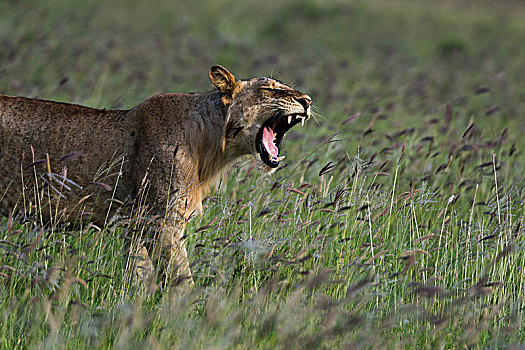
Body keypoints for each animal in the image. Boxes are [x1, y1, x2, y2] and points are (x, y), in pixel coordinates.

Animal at [0, 66, 312, 288]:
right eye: (270, 89)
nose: (307, 100)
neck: (212, 144)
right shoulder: (160, 221)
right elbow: (181, 279)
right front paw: (190, 316)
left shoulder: (136, 223)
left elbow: (138, 274)